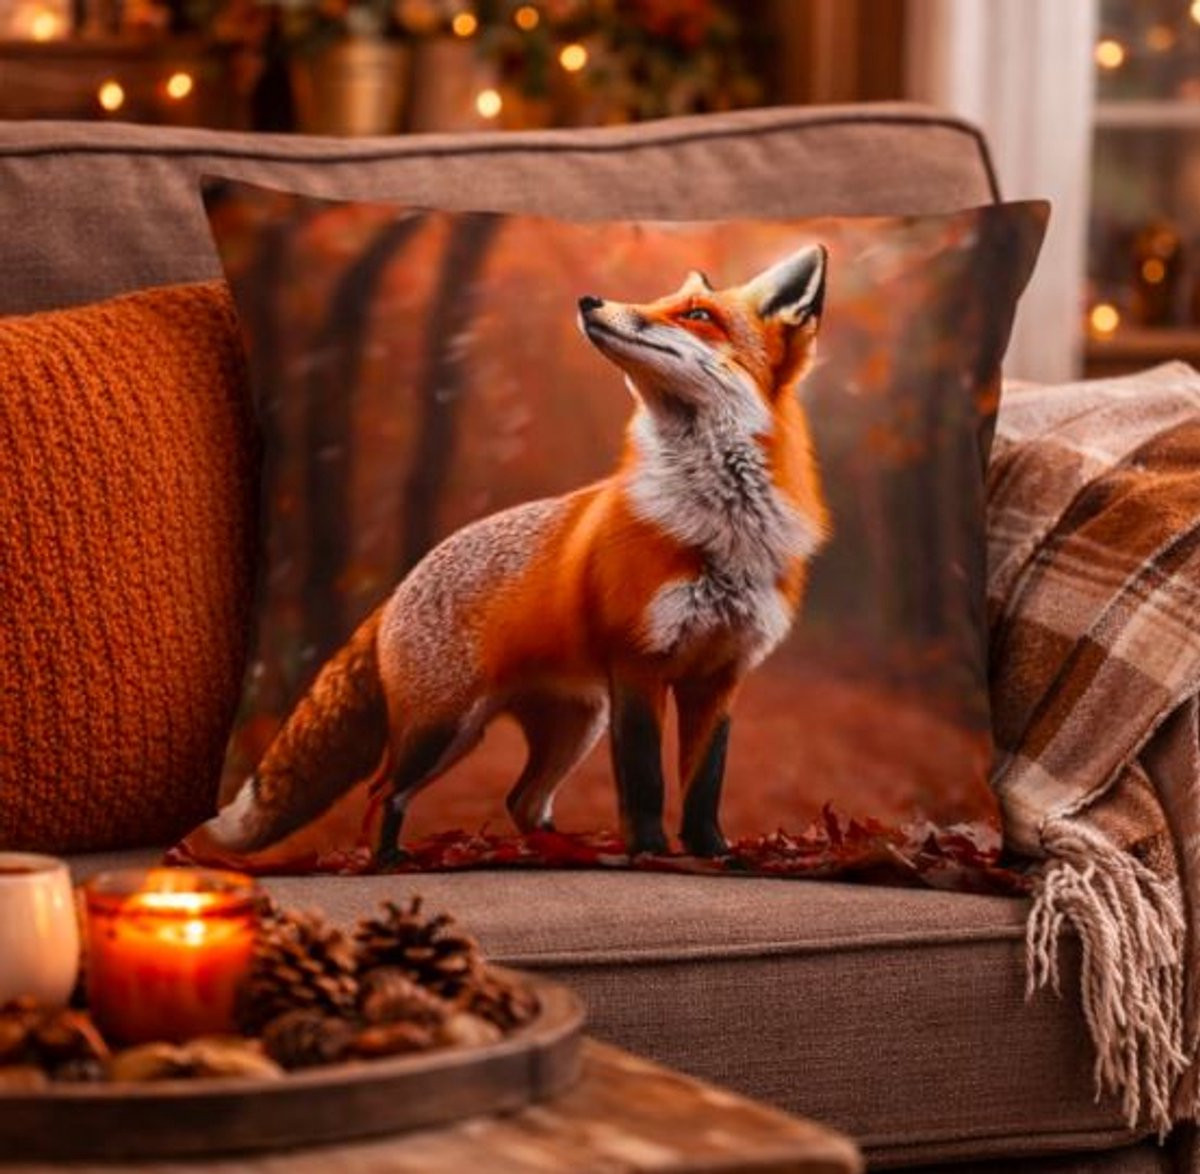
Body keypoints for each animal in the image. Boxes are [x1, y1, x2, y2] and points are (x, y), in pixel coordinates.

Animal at [201, 242, 831, 867]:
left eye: (697, 314)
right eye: (659, 301)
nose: (590, 300)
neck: (720, 530)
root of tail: (402, 584)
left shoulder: (720, 676)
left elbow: (705, 783)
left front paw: (713, 854)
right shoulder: (637, 664)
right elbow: (646, 781)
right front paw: (652, 854)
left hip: (572, 728)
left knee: (521, 801)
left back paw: (569, 854)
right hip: (444, 729)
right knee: (384, 792)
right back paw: (392, 861)